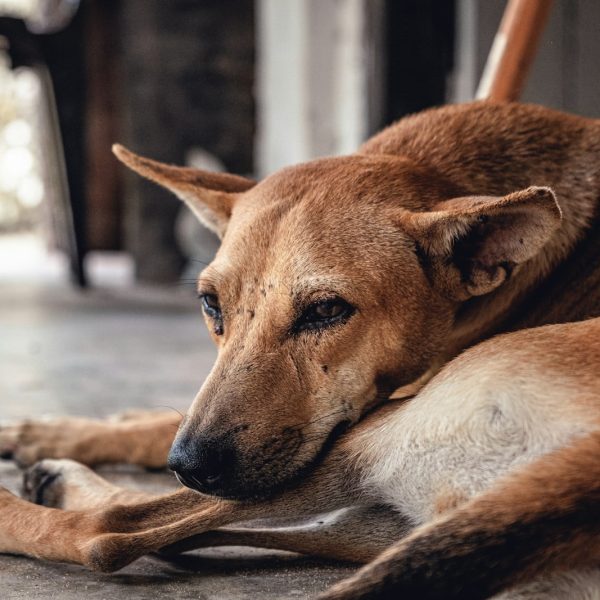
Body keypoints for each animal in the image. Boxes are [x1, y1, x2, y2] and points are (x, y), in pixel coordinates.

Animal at [1, 101, 600, 596]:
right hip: (375, 519)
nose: (189, 464)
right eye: (210, 304)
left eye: (327, 311)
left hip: (366, 440)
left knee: (113, 532)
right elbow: (153, 427)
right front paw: (62, 428)